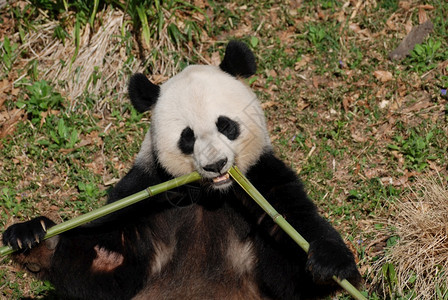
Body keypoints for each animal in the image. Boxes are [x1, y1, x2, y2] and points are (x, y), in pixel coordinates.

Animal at [1, 41, 360, 300]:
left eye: (225, 125)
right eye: (187, 137)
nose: (215, 164)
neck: (211, 195)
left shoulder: (264, 180)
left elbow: (289, 263)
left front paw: (329, 262)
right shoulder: (145, 193)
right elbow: (106, 263)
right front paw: (34, 238)